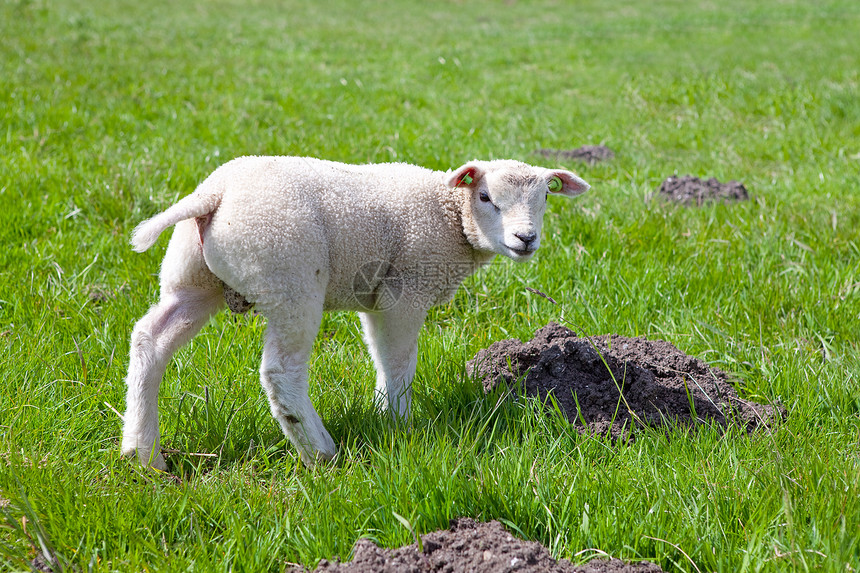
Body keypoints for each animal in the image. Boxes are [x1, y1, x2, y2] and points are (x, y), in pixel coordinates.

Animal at [122, 156, 592, 470]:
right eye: (485, 196)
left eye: (545, 197)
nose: (525, 239)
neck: (449, 216)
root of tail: (214, 194)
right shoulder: (406, 289)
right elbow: (399, 362)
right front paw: (400, 425)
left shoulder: (375, 294)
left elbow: (380, 356)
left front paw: (383, 415)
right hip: (290, 280)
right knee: (281, 372)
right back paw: (320, 452)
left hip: (191, 278)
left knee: (150, 340)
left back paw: (144, 453)